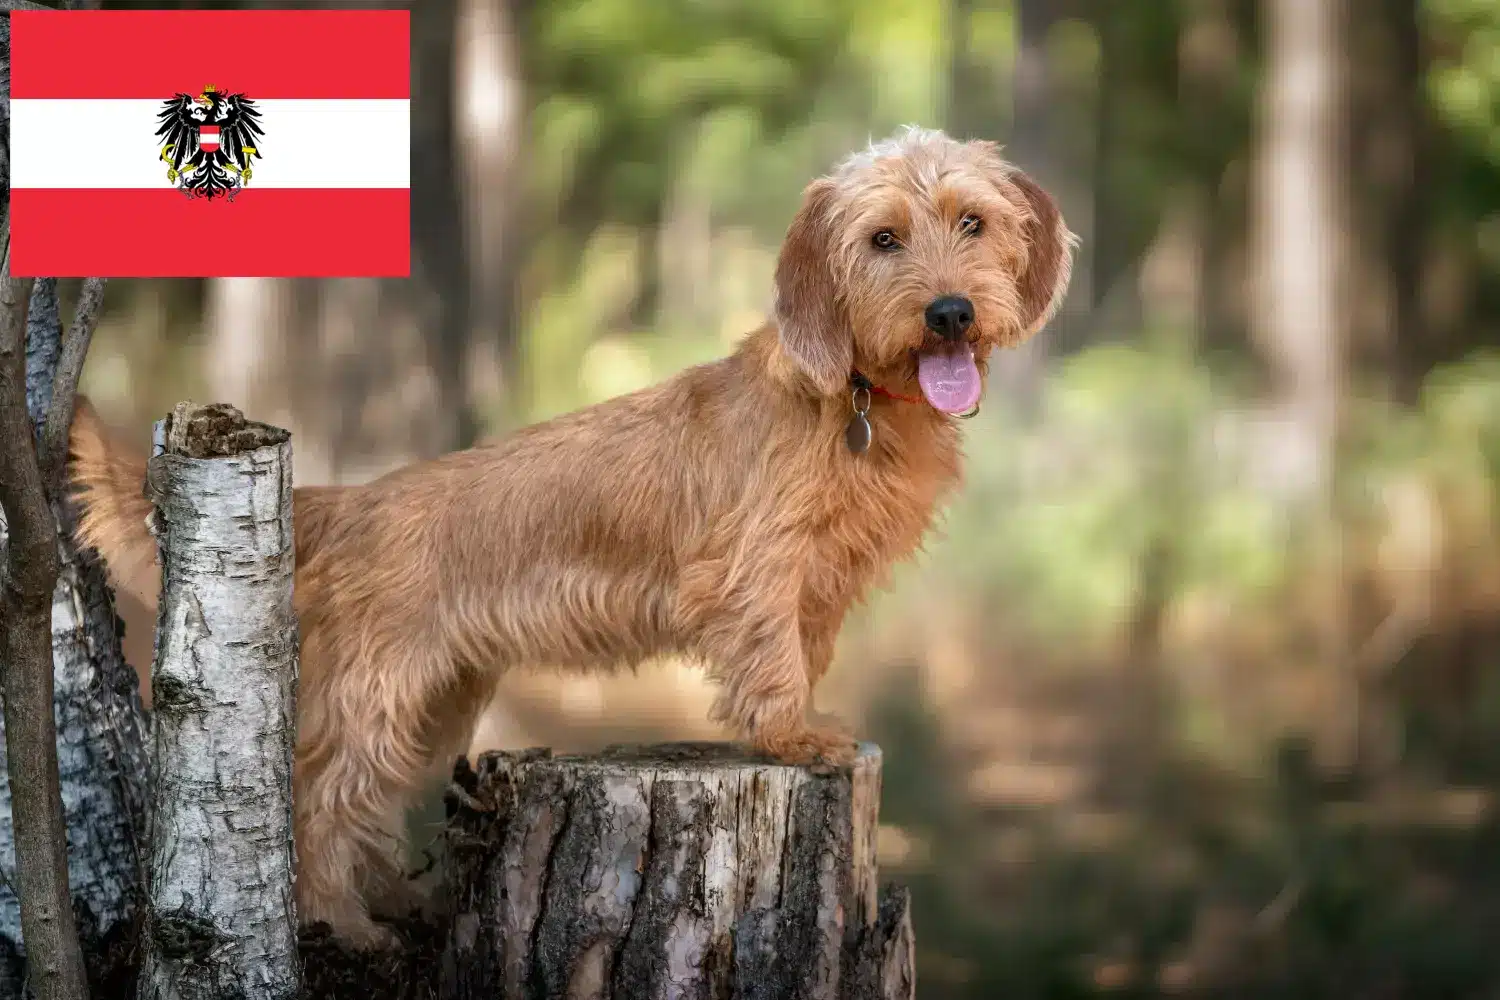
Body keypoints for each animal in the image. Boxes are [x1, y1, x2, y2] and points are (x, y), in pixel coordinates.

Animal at [70, 127, 1074, 947]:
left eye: (973, 223)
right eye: (883, 239)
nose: (949, 311)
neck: (857, 400)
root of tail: (350, 499)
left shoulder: (820, 585)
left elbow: (806, 650)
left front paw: (800, 727)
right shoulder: (756, 568)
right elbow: (773, 657)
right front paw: (790, 734)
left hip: (439, 704)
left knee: (367, 812)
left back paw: (394, 899)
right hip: (373, 698)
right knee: (320, 804)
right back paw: (343, 925)